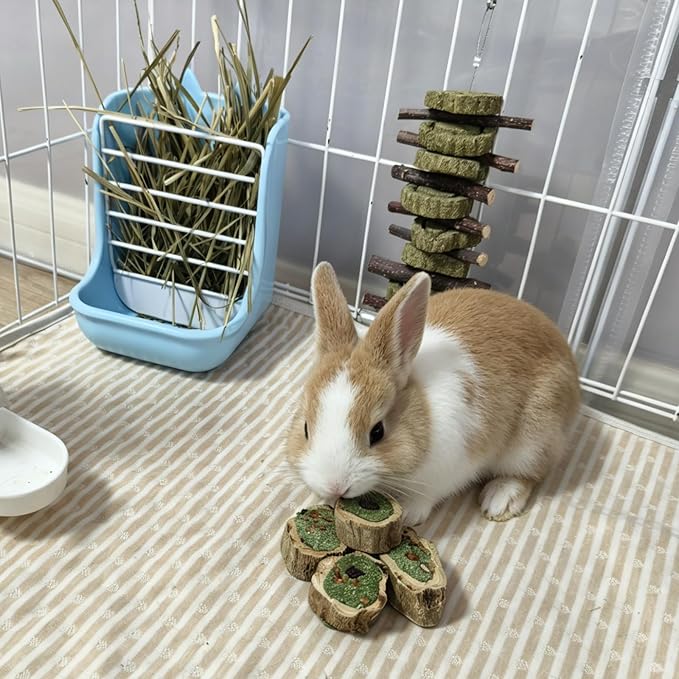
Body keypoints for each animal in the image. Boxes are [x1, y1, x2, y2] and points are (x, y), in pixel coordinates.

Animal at [284, 262, 580, 525]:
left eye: (377, 432)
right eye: (306, 428)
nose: (335, 486)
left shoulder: (450, 468)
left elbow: (428, 495)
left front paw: (408, 514)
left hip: (533, 439)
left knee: (532, 473)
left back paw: (499, 499)